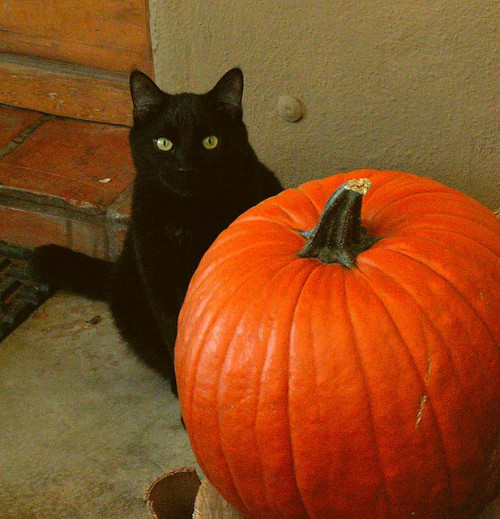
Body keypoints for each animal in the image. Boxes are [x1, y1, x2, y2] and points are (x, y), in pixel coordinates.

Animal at [33, 69, 284, 394]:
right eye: (163, 143)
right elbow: (176, 332)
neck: (188, 215)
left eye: (211, 141)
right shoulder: (158, 276)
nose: (185, 167)